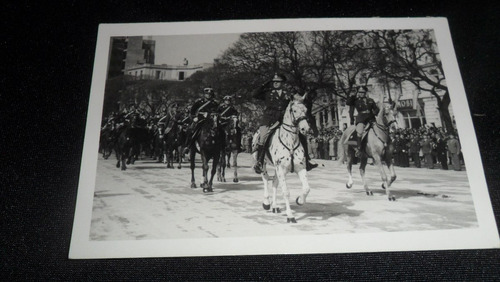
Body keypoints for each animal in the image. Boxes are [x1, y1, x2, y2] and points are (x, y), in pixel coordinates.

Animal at [252, 94, 310, 223]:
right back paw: (266, 203)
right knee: (265, 179)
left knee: (274, 182)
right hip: (263, 164)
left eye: (306, 110)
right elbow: (286, 192)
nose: (305, 129)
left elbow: (306, 188)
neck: (290, 141)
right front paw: (290, 215)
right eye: (294, 110)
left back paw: (274, 206)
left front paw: (300, 200)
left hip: (277, 169)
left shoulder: (300, 168)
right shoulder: (281, 169)